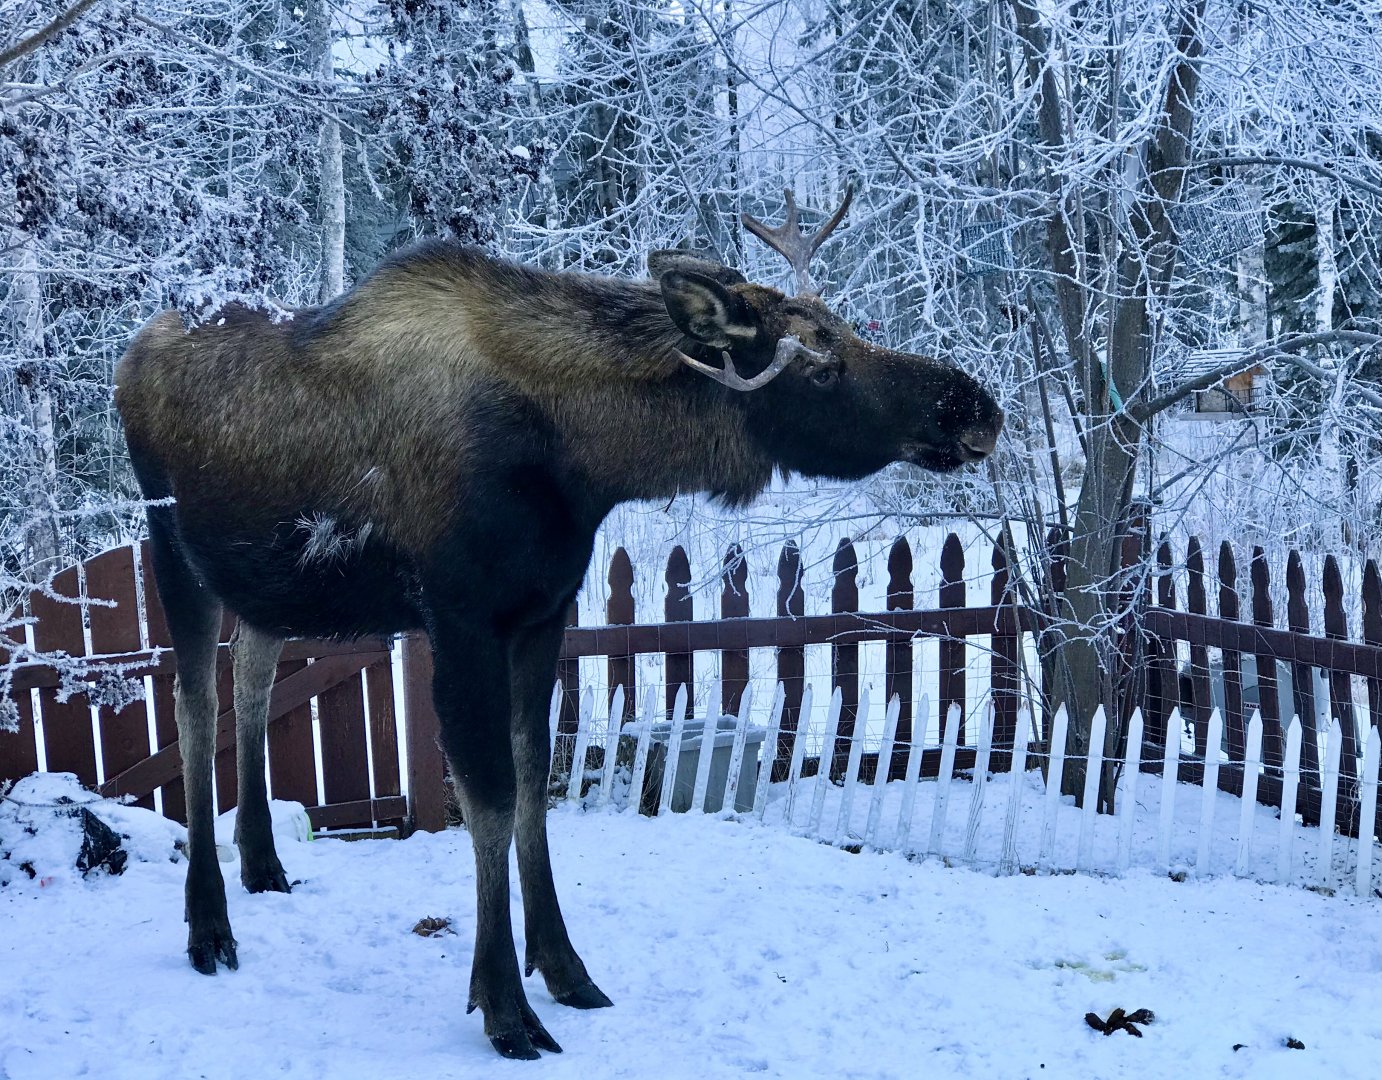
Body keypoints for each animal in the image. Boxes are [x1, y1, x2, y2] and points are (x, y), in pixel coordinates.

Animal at [114, 189, 1003, 1060]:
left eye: (846, 331)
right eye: (820, 368)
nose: (976, 407)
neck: (586, 464)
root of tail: (129, 355)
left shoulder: (544, 611)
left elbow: (534, 771)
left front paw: (565, 967)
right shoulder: (460, 616)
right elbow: (488, 795)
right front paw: (504, 1003)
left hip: (271, 586)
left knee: (252, 676)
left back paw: (262, 863)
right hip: (172, 547)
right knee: (194, 708)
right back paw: (209, 925)